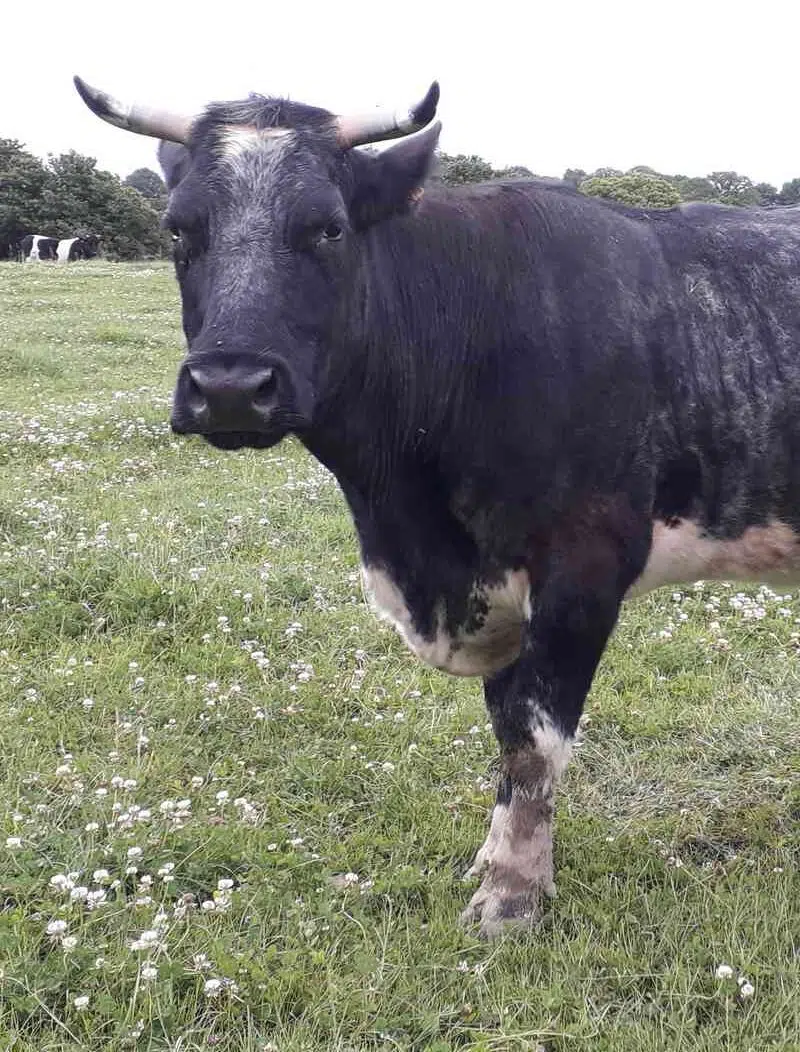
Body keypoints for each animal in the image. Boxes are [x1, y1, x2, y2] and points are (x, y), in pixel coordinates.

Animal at [73, 77, 800, 942]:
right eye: (178, 227)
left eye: (329, 225)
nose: (229, 388)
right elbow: (503, 730)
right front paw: (493, 862)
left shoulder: (585, 564)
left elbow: (532, 740)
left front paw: (512, 897)